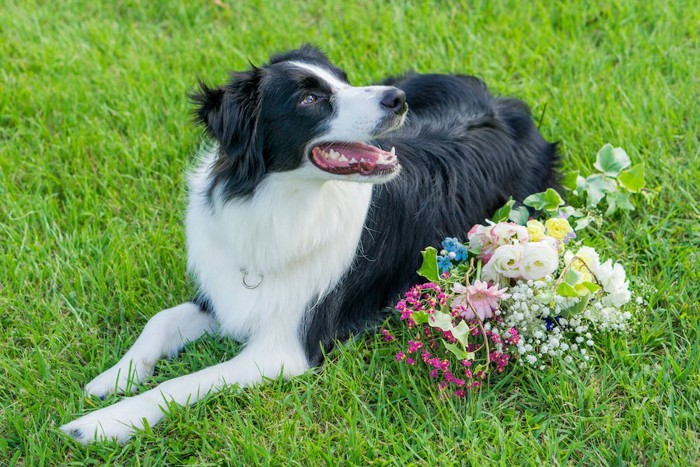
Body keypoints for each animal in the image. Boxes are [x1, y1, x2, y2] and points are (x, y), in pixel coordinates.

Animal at [60, 45, 556, 444]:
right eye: (310, 98)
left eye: (342, 80)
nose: (397, 100)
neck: (281, 202)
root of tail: (502, 103)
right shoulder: (225, 293)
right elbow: (160, 320)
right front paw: (113, 378)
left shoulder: (284, 349)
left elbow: (181, 383)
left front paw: (101, 424)